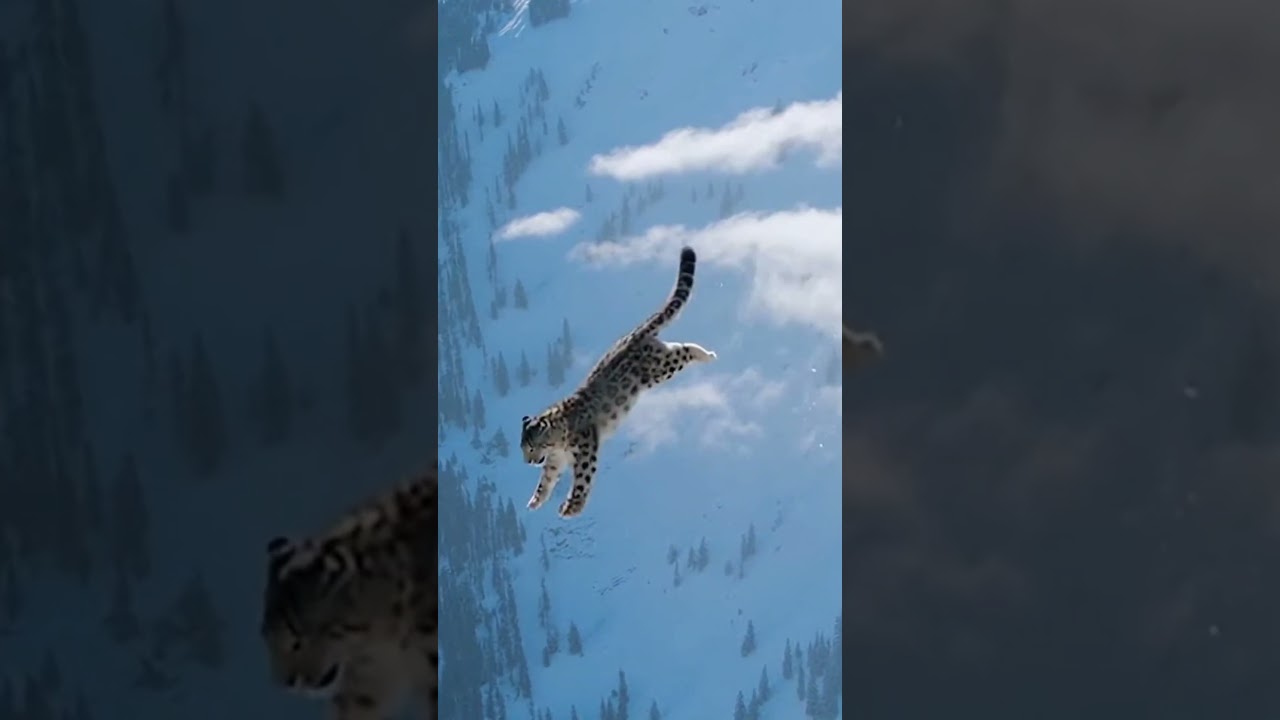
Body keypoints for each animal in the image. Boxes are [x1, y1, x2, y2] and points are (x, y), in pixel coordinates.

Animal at [520, 245, 716, 519]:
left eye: (531, 445)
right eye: (523, 446)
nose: (527, 461)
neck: (558, 443)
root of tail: (634, 334)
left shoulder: (584, 449)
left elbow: (582, 479)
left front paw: (571, 507)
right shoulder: (555, 460)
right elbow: (546, 481)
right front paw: (535, 501)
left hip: (660, 369)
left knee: (684, 350)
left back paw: (706, 355)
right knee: (678, 346)